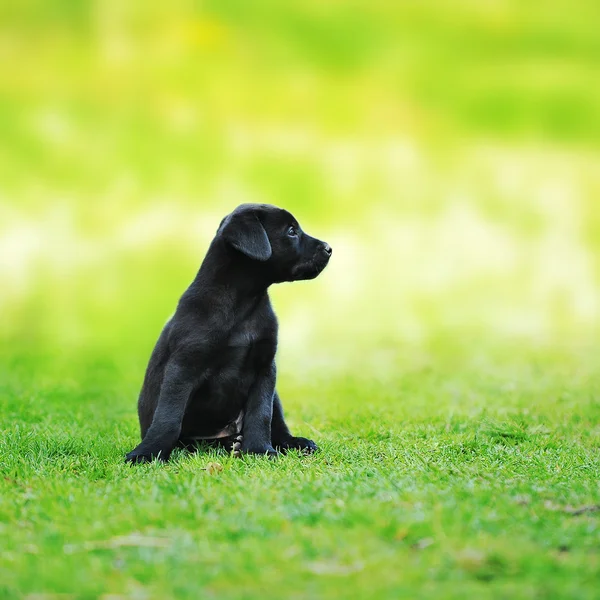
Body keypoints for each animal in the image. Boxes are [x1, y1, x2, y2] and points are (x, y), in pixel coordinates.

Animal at [126, 204, 330, 462]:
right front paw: (148, 452)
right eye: (291, 231)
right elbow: (168, 417)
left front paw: (260, 450)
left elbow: (261, 414)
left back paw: (287, 443)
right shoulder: (183, 367)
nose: (329, 248)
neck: (243, 303)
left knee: (277, 423)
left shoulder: (265, 368)